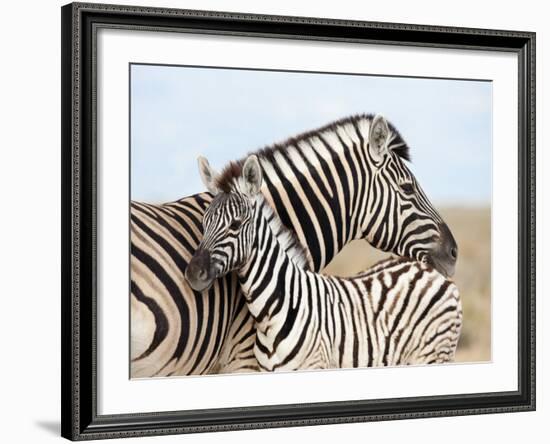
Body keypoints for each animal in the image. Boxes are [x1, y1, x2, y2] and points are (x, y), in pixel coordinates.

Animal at [188, 154, 464, 370]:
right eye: (203, 223)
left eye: (235, 225)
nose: (192, 272)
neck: (275, 309)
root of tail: (433, 272)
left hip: (433, 355)